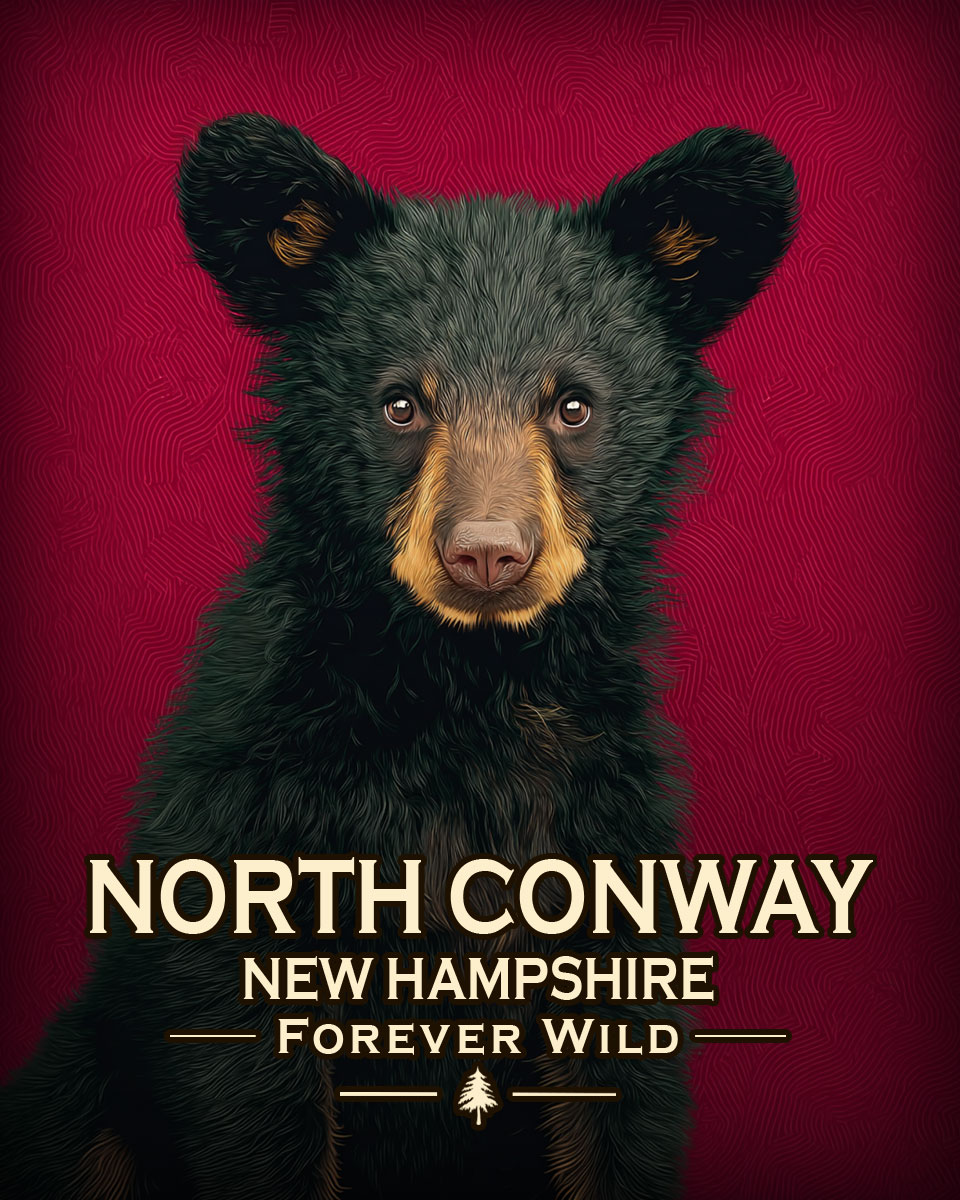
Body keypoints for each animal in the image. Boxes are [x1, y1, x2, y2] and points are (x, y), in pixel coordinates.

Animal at [0, 113, 796, 1200]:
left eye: (574, 406)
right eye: (400, 405)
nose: (488, 554)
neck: (468, 689)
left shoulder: (606, 832)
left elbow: (617, 1102)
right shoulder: (252, 819)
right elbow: (254, 1093)